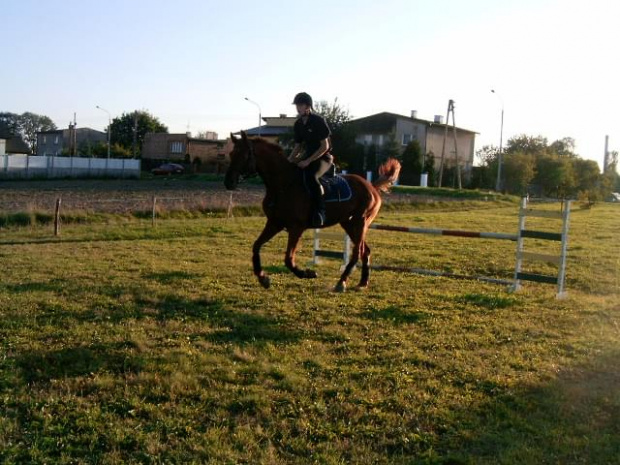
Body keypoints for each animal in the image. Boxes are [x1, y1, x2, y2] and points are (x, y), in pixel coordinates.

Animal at [224, 130, 402, 290]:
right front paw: (263, 278)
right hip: (349, 224)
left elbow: (289, 259)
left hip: (360, 222)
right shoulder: (274, 223)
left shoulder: (296, 227)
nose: (228, 182)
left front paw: (307, 273)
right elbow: (256, 246)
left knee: (357, 251)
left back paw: (342, 282)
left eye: (243, 155)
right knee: (365, 251)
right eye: (231, 153)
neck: (282, 184)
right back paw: (362, 282)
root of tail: (371, 186)